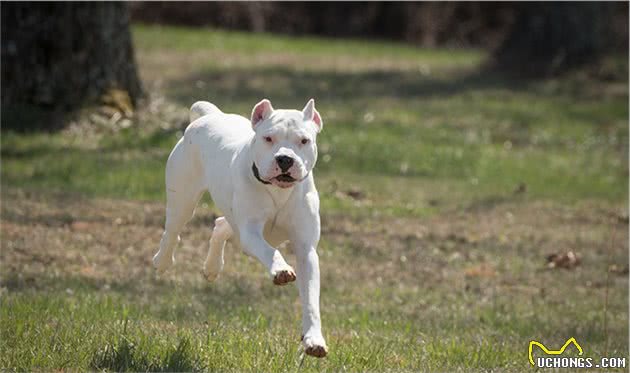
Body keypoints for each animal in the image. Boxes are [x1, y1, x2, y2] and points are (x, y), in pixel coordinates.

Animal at [153, 97, 328, 356]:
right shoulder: (251, 232)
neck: (278, 191)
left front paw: (314, 340)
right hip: (183, 198)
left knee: (220, 225)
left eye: (304, 140)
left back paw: (212, 267)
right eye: (268, 138)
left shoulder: (306, 249)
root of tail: (212, 115)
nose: (285, 159)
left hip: (232, 221)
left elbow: (311, 300)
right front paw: (281, 269)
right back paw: (162, 261)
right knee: (172, 231)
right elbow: (269, 251)